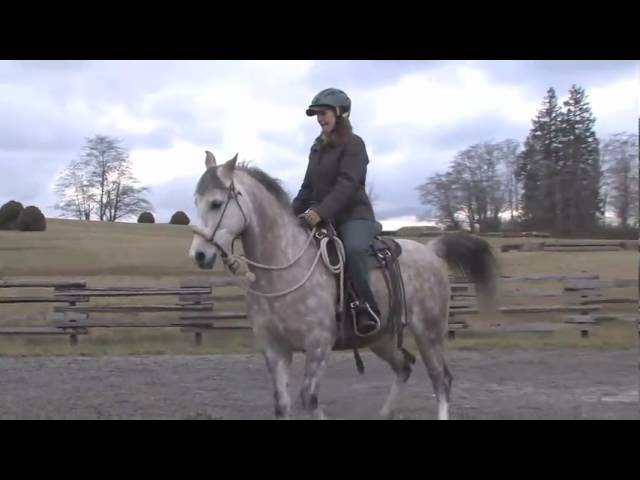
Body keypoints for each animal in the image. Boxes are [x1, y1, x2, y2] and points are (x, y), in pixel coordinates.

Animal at [189, 151, 498, 420]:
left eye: (216, 203)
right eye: (196, 202)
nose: (199, 255)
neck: (283, 267)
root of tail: (431, 250)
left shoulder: (318, 346)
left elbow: (309, 400)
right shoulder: (275, 349)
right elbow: (282, 405)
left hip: (429, 334)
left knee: (441, 379)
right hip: (382, 338)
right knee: (405, 366)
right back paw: (385, 413)